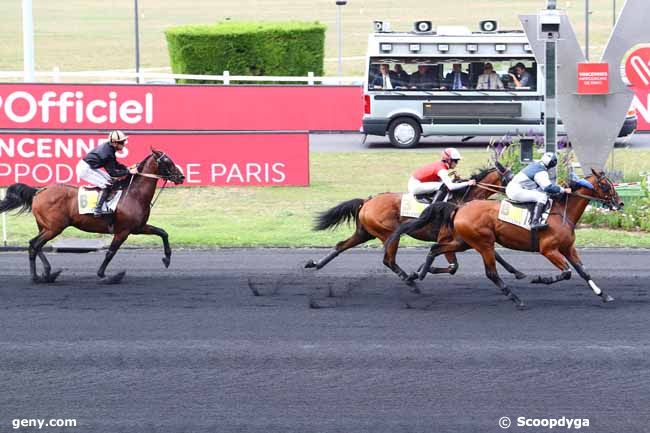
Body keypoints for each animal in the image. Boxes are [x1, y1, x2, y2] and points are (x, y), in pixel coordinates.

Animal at [0, 148, 185, 284]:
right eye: (167, 161)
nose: (181, 177)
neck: (134, 194)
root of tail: (39, 191)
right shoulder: (123, 231)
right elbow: (110, 252)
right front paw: (106, 275)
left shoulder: (138, 227)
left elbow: (163, 232)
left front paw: (167, 259)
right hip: (54, 227)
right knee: (35, 245)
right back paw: (39, 276)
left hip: (45, 227)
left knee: (34, 245)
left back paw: (45, 274)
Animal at [306, 160, 528, 282]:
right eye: (511, 178)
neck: (461, 199)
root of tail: (367, 200)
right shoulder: (449, 236)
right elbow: (453, 266)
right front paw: (422, 270)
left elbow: (495, 255)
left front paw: (517, 272)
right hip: (387, 234)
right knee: (387, 259)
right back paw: (408, 279)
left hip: (365, 232)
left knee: (341, 245)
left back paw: (315, 263)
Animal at [384, 169, 624, 308]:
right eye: (606, 185)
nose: (619, 203)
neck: (561, 212)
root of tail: (459, 208)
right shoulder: (548, 250)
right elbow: (566, 273)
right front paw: (539, 279)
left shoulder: (567, 248)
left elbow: (583, 272)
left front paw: (603, 294)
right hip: (483, 243)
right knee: (491, 273)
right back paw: (515, 298)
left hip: (464, 241)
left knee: (436, 248)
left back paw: (418, 275)